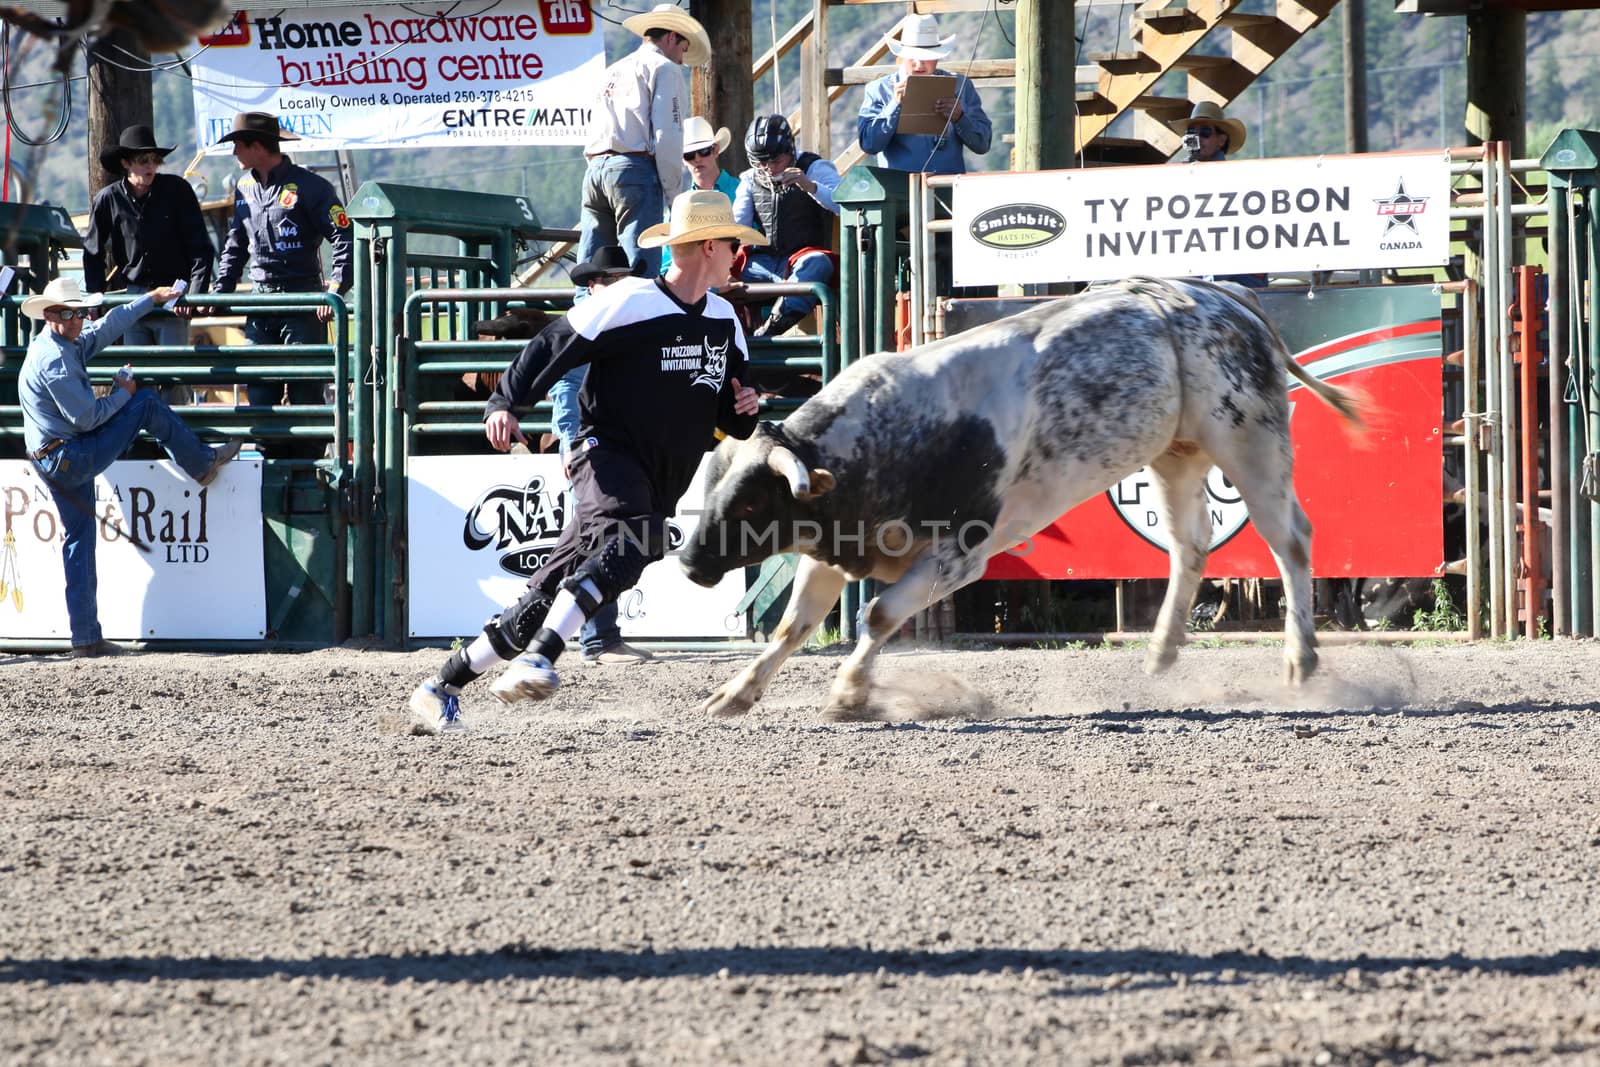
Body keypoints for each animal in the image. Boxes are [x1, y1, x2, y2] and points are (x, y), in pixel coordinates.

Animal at [681, 279, 1369, 723]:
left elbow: (877, 615)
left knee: (1290, 540)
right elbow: (795, 625)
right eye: (707, 490)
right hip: (1178, 454)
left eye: (749, 505)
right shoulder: (836, 543)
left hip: (1249, 439)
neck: (893, 433)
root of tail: (1227, 299)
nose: (689, 563)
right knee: (1189, 544)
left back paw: (1300, 659)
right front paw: (734, 694)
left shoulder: (960, 555)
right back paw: (1162, 649)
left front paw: (850, 694)